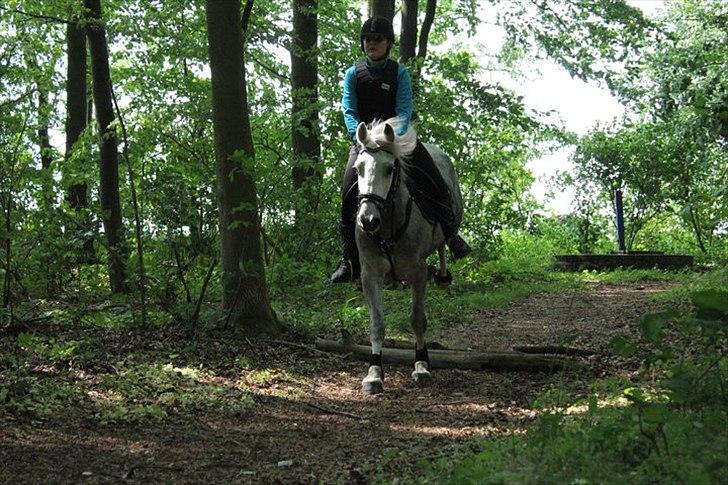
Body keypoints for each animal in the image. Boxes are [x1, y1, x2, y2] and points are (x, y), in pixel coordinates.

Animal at [354, 117, 466, 394]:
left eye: (389, 169)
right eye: (359, 169)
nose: (367, 220)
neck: (388, 225)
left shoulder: (418, 272)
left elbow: (417, 320)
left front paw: (422, 365)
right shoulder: (370, 274)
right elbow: (377, 324)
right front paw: (374, 373)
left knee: (443, 245)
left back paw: (444, 276)